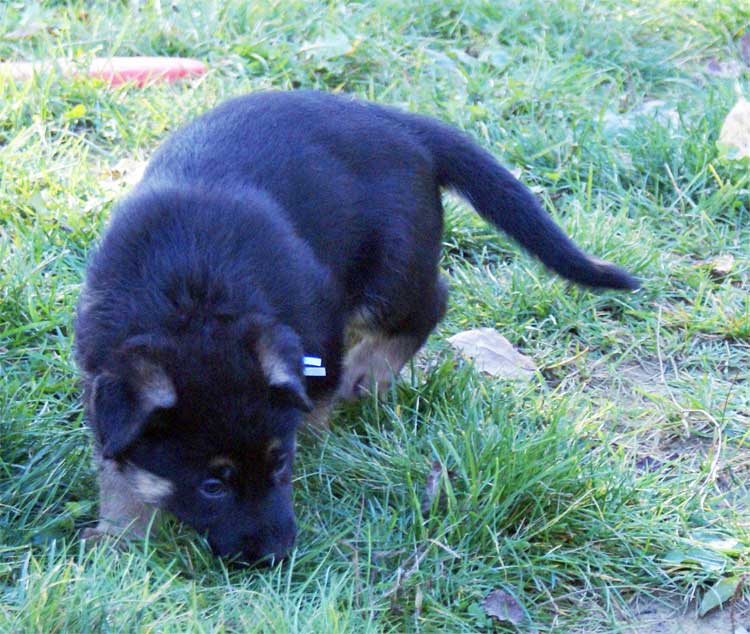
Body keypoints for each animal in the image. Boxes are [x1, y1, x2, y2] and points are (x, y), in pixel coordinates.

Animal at [76, 90, 640, 564]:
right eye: (212, 485)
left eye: (281, 465)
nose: (276, 556)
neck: (192, 298)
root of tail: (398, 121)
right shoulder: (105, 377)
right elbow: (117, 463)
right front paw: (121, 536)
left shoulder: (317, 330)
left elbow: (317, 398)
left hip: (389, 269)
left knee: (429, 303)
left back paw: (368, 373)